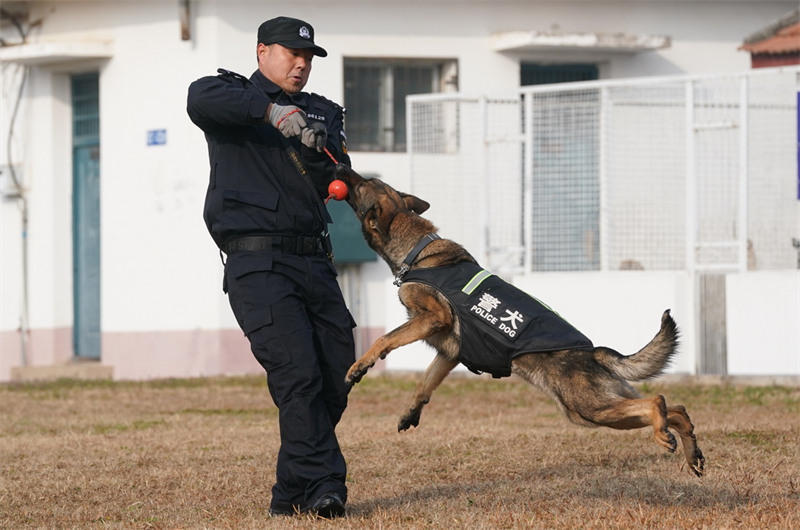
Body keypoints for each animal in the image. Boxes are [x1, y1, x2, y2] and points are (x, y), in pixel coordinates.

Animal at [338, 165, 708, 474]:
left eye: (362, 184)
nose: (342, 166)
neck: (418, 251)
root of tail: (592, 353)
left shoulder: (434, 318)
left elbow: (384, 338)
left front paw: (359, 366)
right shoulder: (449, 352)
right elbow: (424, 384)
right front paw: (411, 412)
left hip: (589, 408)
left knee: (657, 402)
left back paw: (665, 435)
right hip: (599, 410)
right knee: (677, 409)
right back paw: (690, 450)